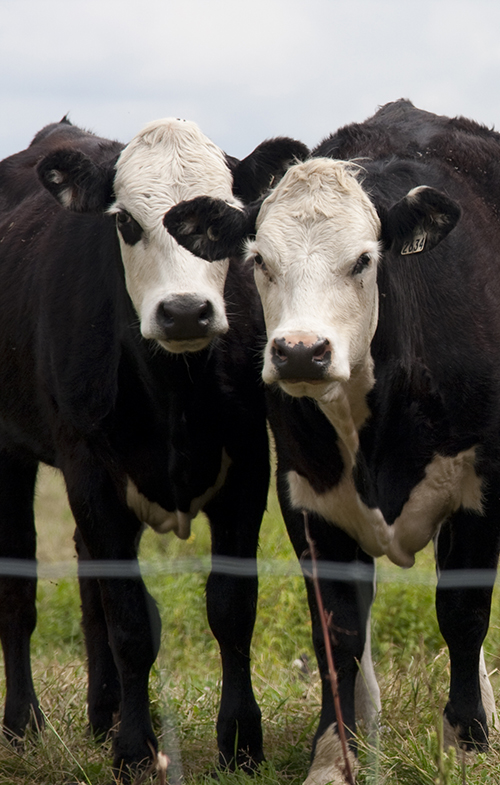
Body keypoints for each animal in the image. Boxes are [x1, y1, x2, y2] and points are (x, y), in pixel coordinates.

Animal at [0, 115, 308, 776]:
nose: (186, 312)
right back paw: (23, 724)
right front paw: (135, 751)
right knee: (19, 587)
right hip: (10, 452)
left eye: (225, 223)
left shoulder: (247, 466)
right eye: (125, 223)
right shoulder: (89, 470)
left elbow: (231, 608)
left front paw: (240, 742)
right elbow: (131, 622)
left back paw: (102, 712)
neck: (175, 391)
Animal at [165, 99, 500, 784]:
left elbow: (464, 615)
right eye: (260, 261)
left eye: (364, 260)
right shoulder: (308, 498)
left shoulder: (481, 488)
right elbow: (337, 631)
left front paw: (467, 744)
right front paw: (335, 754)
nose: (300, 351)